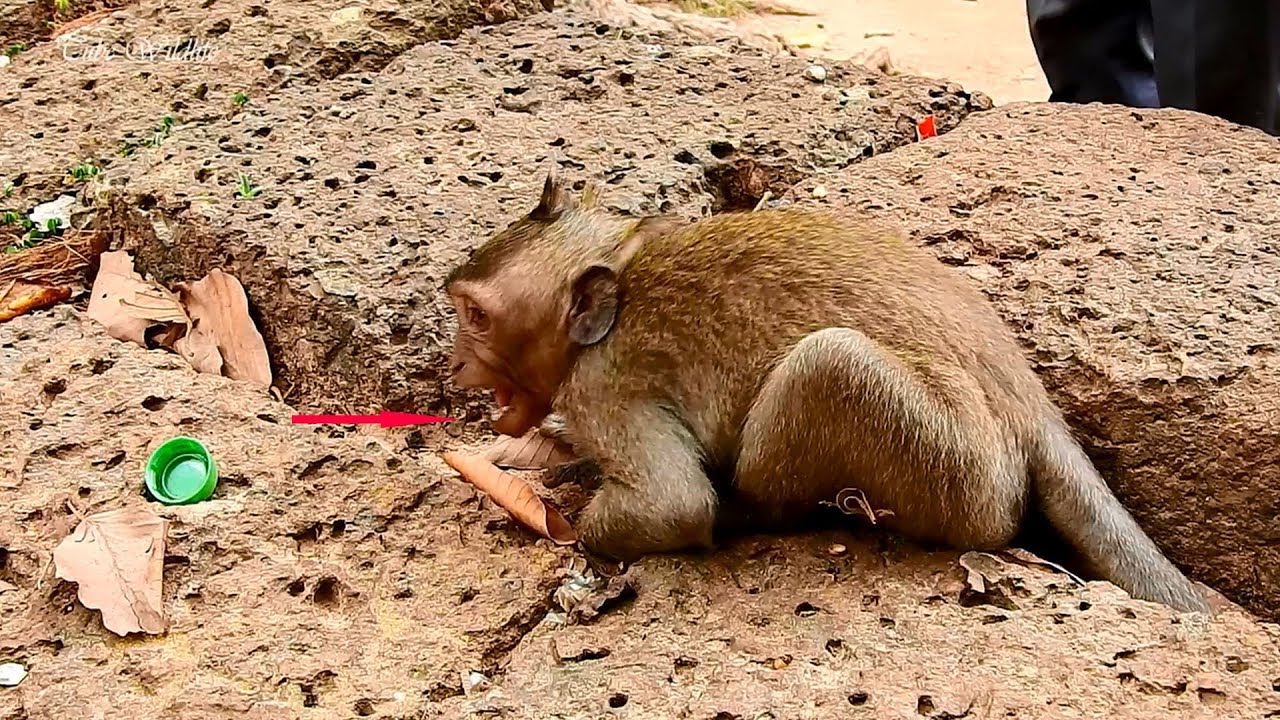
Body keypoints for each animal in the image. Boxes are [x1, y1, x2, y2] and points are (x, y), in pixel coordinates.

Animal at [444, 171, 1210, 614]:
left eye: (474, 315)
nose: (454, 366)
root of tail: (1026, 393)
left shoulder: (603, 390)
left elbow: (672, 504)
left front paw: (568, 523)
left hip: (961, 474)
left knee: (827, 364)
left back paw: (755, 512)